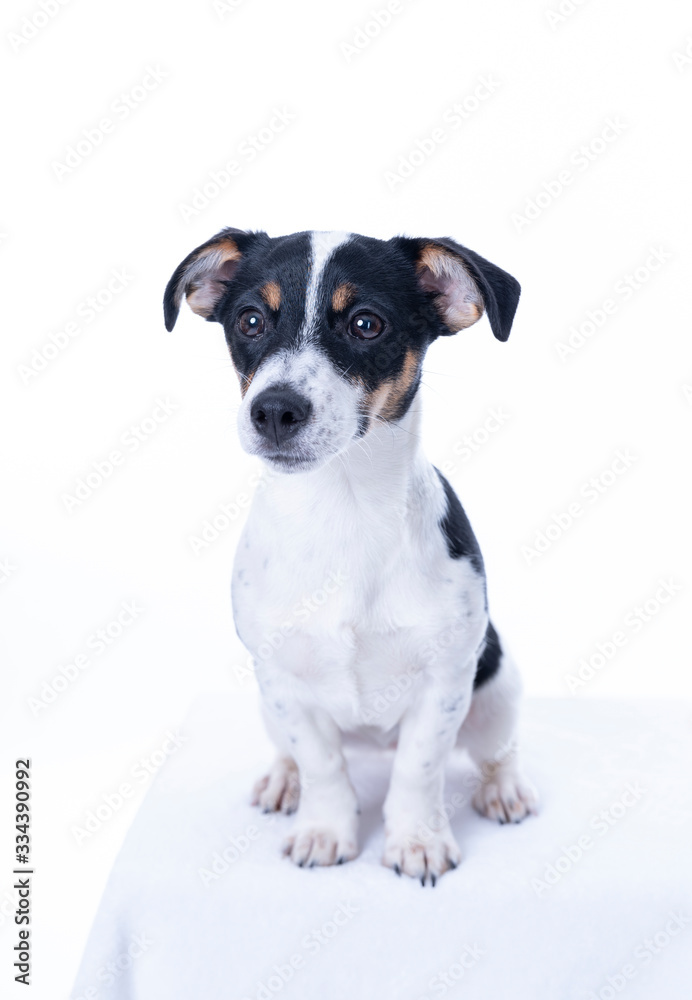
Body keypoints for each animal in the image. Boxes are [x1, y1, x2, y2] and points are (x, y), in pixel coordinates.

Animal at [165, 229, 536, 884]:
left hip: (495, 688)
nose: (274, 410)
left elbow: (418, 768)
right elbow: (322, 765)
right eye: (250, 320)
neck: (344, 510)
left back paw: (503, 789)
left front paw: (417, 840)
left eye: (366, 323)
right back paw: (282, 781)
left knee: (498, 750)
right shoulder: (282, 680)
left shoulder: (445, 680)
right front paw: (324, 830)